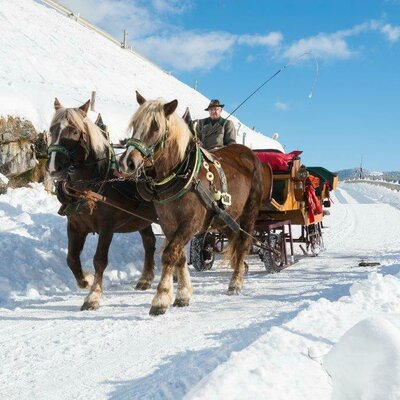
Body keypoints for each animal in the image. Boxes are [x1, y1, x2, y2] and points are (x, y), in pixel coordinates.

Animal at [46, 98, 158, 310]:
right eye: (52, 129)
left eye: (74, 131)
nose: (53, 167)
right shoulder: (75, 226)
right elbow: (71, 258)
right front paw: (86, 281)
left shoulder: (107, 227)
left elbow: (99, 259)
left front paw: (93, 296)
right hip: (142, 219)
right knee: (150, 242)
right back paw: (146, 279)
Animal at [116, 93, 266, 316]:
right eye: (135, 124)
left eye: (155, 127)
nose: (126, 163)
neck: (181, 173)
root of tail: (249, 154)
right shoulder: (169, 224)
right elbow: (178, 256)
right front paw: (183, 294)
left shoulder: (190, 223)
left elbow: (170, 254)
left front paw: (161, 299)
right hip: (225, 218)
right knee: (235, 239)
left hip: (250, 212)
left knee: (244, 243)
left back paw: (236, 283)